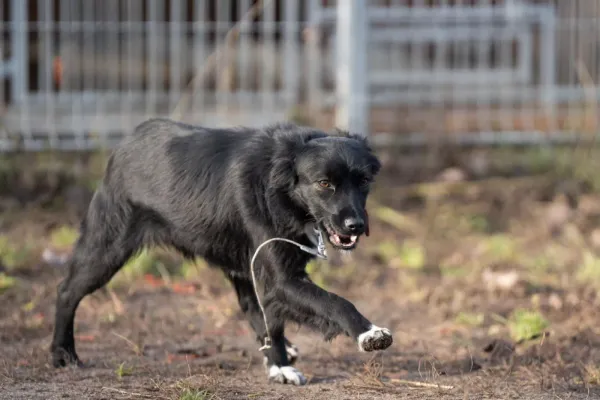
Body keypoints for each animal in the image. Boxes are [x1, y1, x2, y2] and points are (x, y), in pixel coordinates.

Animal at [51, 119, 394, 384]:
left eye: (364, 180)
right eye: (324, 183)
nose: (356, 225)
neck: (280, 187)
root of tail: (127, 141)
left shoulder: (270, 273)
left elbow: (275, 315)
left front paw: (278, 364)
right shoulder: (280, 280)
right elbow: (335, 302)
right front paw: (369, 333)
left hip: (241, 266)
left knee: (252, 309)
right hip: (107, 248)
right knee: (66, 291)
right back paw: (62, 353)